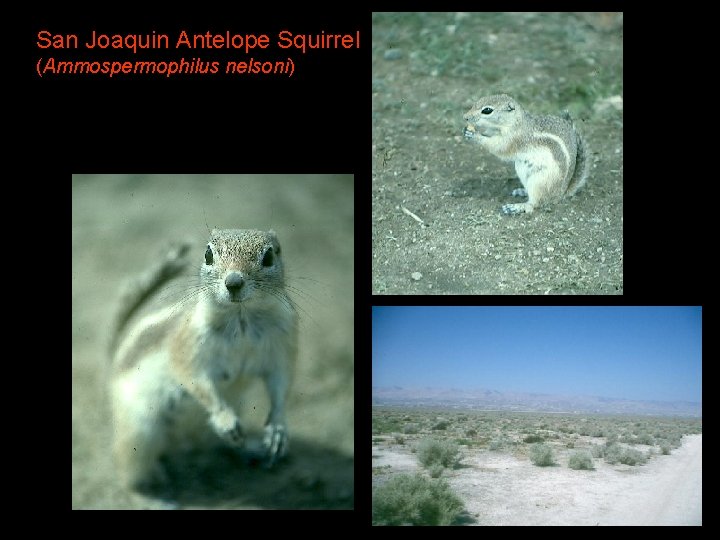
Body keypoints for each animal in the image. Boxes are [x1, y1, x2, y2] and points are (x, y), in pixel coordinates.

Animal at [109, 229, 297, 491]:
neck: (241, 319)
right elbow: (197, 381)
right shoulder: (188, 349)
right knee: (130, 473)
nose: (233, 282)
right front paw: (225, 419)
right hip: (139, 430)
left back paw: (250, 448)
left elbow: (281, 385)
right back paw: (155, 485)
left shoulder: (282, 347)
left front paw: (278, 429)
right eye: (208, 254)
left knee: (217, 443)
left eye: (269, 256)